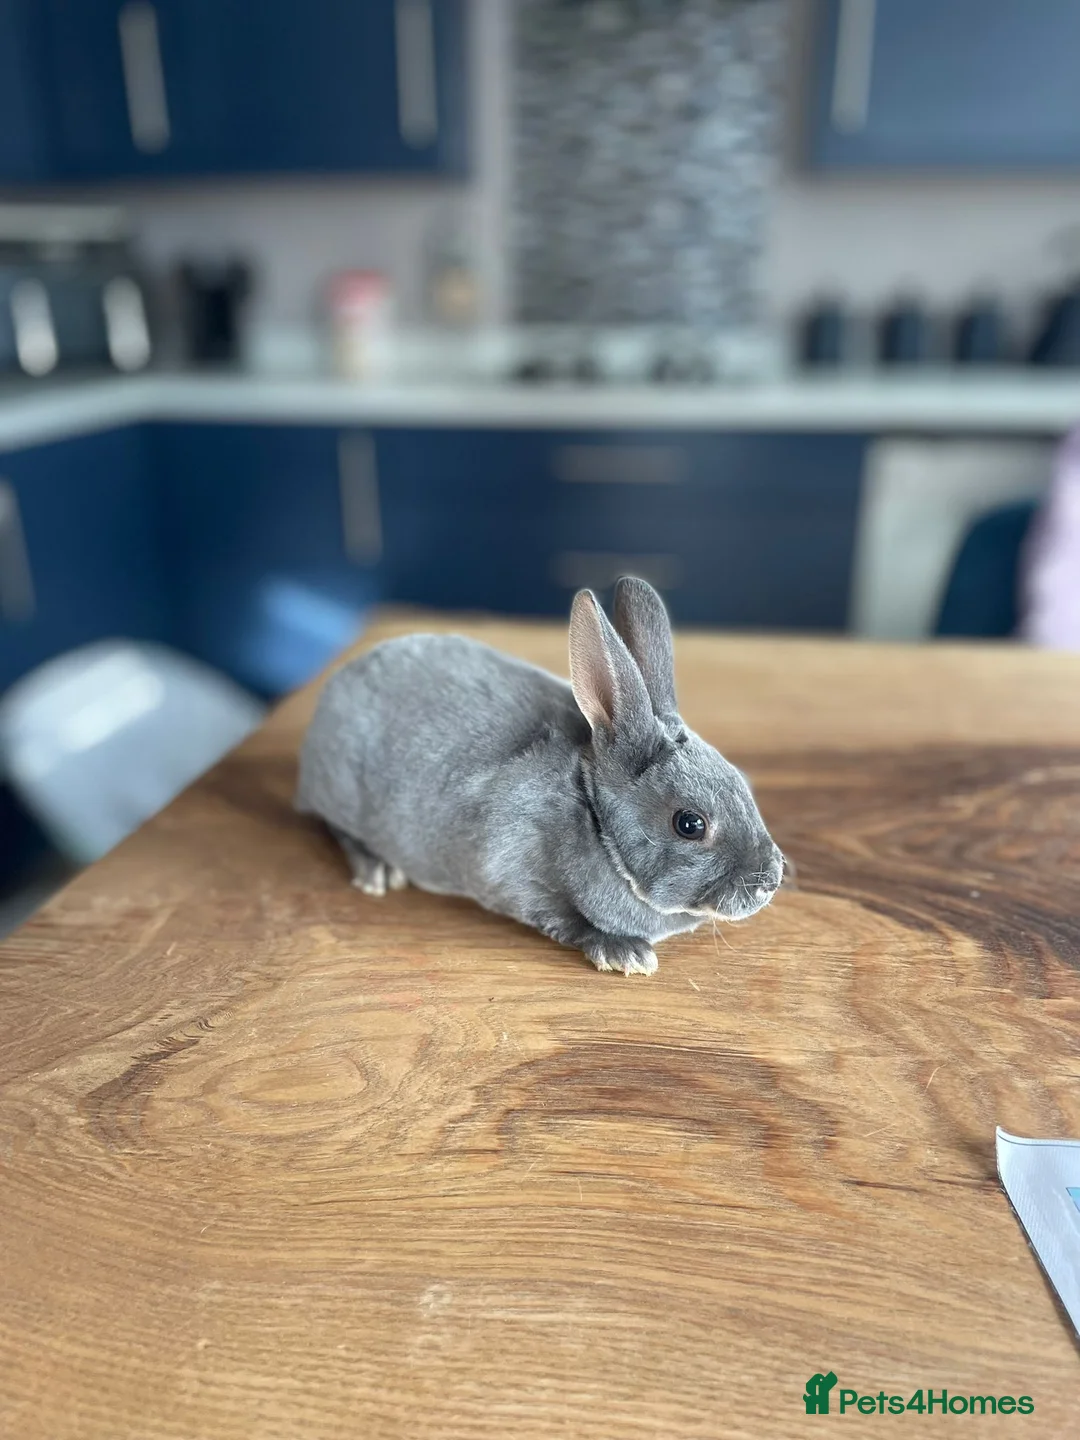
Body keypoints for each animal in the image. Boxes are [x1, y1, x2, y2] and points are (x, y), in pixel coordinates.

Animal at [295, 576, 783, 976]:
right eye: (690, 824)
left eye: (740, 781)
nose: (770, 881)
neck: (594, 816)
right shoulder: (511, 877)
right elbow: (562, 918)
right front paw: (624, 953)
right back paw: (377, 872)